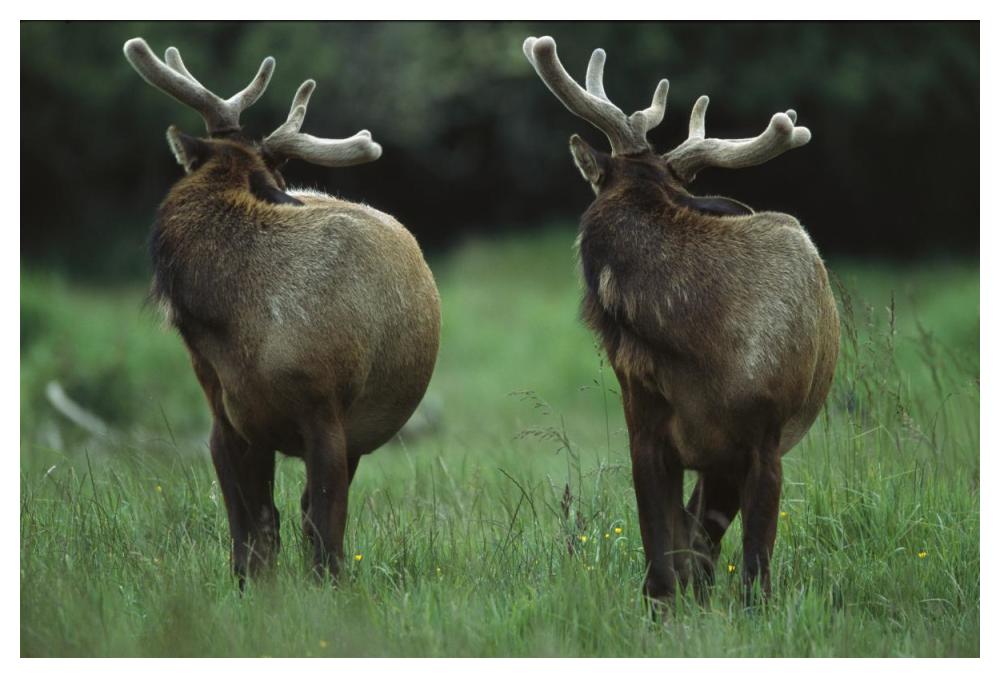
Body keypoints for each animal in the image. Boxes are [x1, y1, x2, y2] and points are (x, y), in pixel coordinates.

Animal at [122, 38, 441, 587]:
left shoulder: (328, 411)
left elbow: (324, 528)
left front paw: (327, 591)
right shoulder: (225, 420)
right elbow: (249, 532)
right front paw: (252, 590)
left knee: (311, 513)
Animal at [522, 36, 839, 606]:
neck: (701, 343)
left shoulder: (764, 438)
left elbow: (755, 571)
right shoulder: (646, 429)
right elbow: (660, 566)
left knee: (705, 539)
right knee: (694, 540)